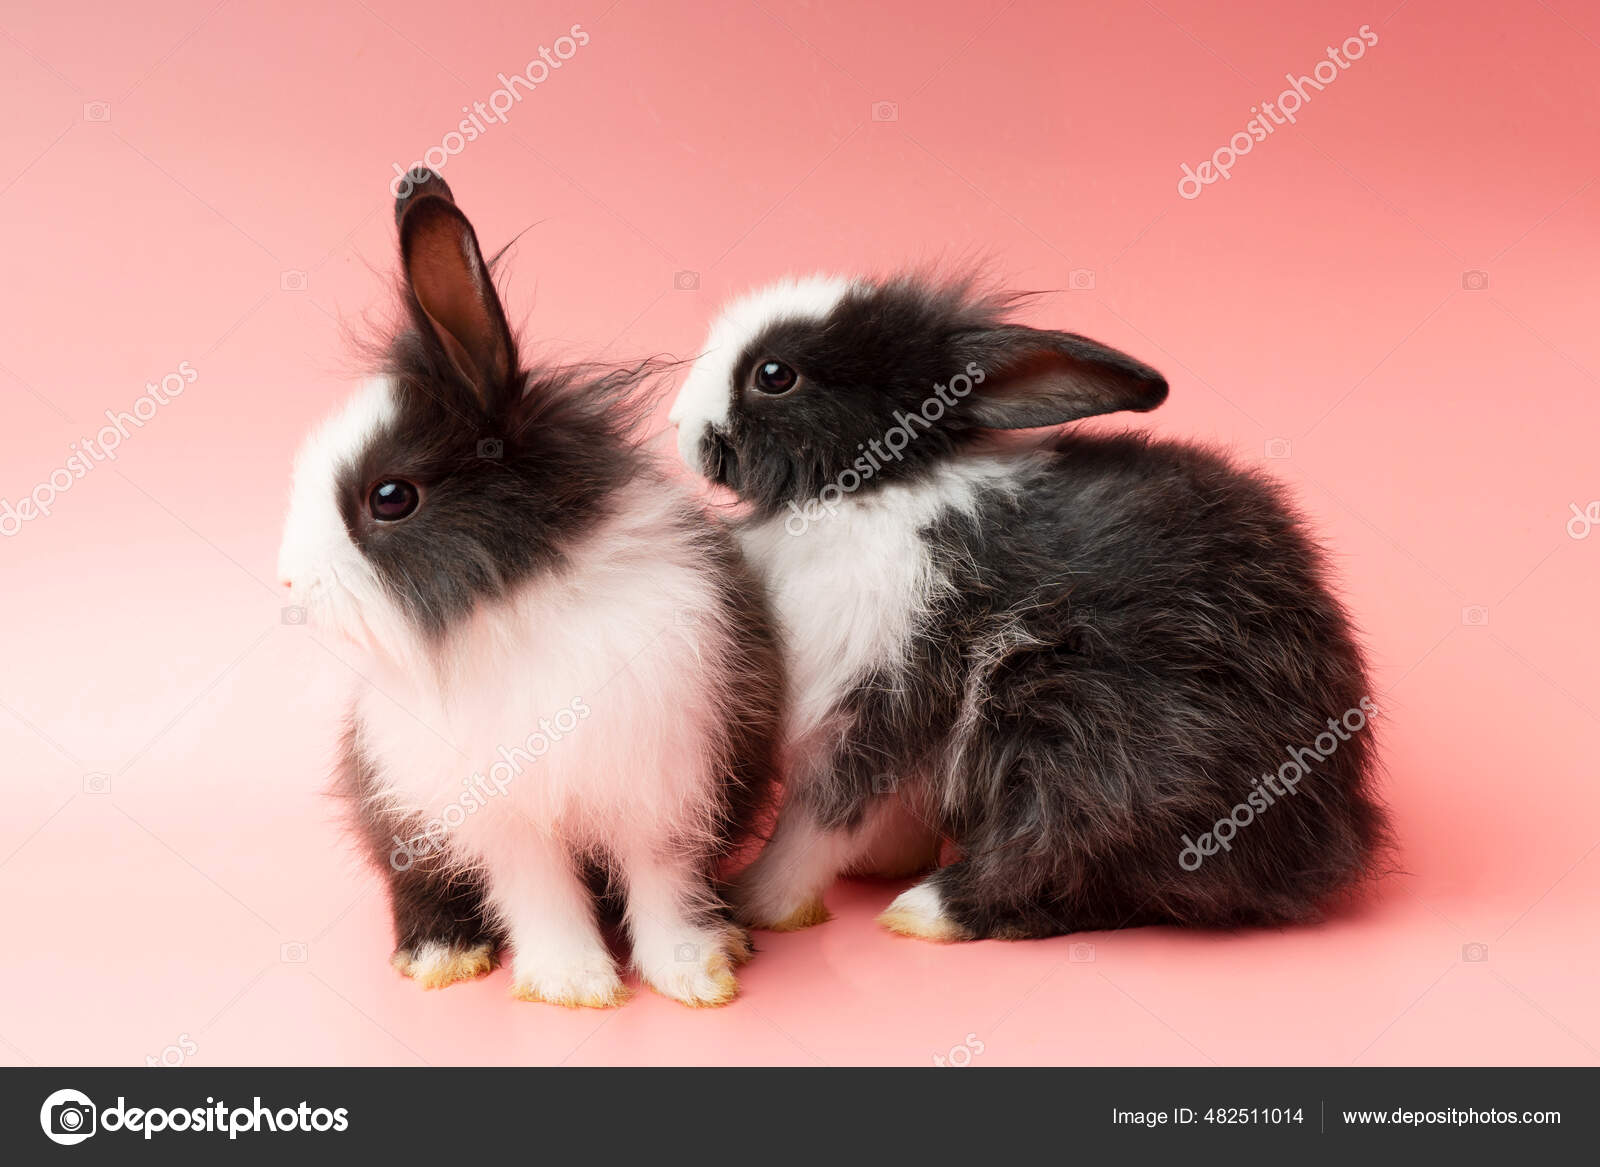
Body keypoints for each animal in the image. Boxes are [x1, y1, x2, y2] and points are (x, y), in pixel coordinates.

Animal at [277, 169, 782, 1006]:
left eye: (391, 497)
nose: (289, 583)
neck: (514, 607)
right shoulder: (499, 811)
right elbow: (538, 892)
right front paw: (575, 983)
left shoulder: (665, 781)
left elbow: (664, 882)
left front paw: (697, 974)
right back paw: (440, 955)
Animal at [666, 272, 1389, 942]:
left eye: (774, 375)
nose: (678, 426)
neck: (877, 487)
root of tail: (1330, 836)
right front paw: (885, 860)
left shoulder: (878, 691)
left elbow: (824, 817)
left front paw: (759, 901)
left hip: (1088, 729)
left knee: (1069, 854)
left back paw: (927, 910)